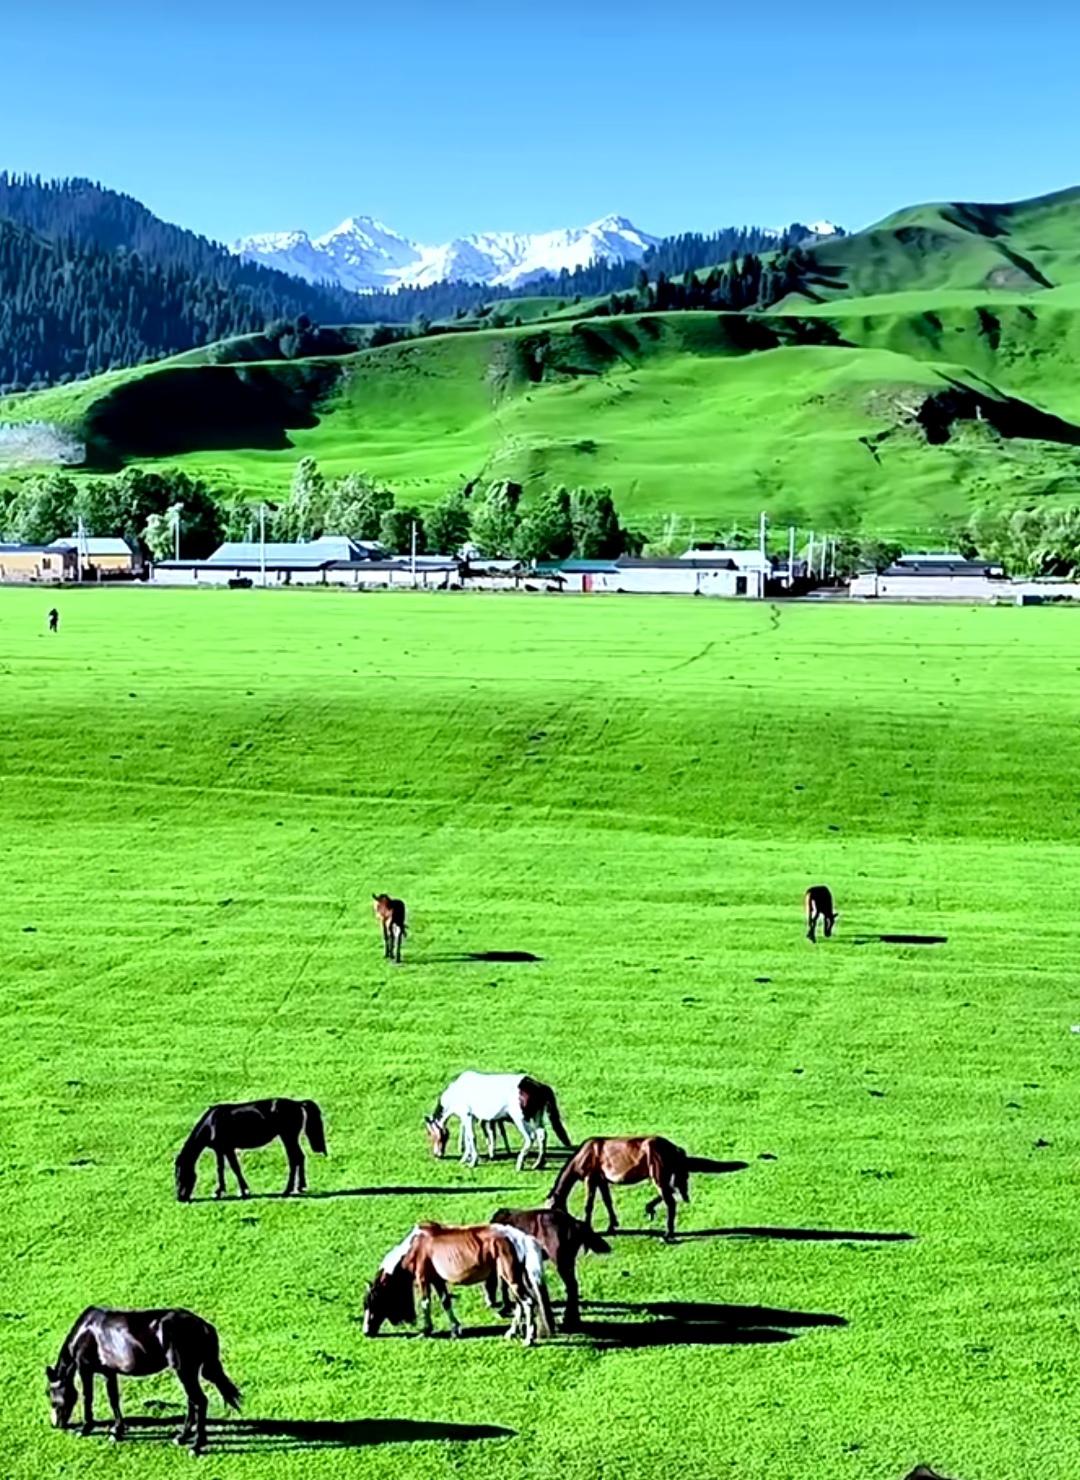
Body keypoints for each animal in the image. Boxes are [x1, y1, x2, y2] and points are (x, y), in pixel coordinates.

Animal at [45, 1308, 238, 1456]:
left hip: (184, 1371)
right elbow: (113, 1399)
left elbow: (87, 1397)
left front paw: (85, 1429)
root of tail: (204, 1326)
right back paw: (182, 1437)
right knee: (192, 1401)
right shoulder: (109, 1372)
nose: (55, 1424)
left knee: (200, 1401)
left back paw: (197, 1446)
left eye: (49, 1393)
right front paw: (117, 1431)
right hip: (188, 1373)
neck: (86, 1331)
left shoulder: (85, 1369)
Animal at [170, 1101, 324, 1201]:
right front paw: (219, 1191)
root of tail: (297, 1104)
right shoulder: (220, 1149)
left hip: (288, 1137)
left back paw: (287, 1190)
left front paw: (244, 1191)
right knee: (299, 1157)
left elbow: (235, 1168)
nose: (180, 1198)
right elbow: (220, 1169)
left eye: (180, 1175)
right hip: (289, 1138)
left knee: (294, 1159)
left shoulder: (228, 1148)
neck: (211, 1123)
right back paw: (300, 1187)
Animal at [362, 1219, 550, 1349]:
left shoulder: (423, 1279)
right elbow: (446, 1301)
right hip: (512, 1280)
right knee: (519, 1304)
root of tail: (520, 1238)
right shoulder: (437, 1280)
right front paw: (455, 1329)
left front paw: (426, 1331)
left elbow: (425, 1303)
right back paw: (511, 1333)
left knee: (528, 1303)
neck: (415, 1247)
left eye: (373, 1303)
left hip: (511, 1279)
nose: (366, 1332)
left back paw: (528, 1339)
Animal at [423, 1071, 568, 1172]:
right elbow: (468, 1138)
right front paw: (465, 1159)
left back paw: (520, 1164)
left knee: (530, 1138)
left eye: (431, 1135)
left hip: (520, 1119)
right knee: (541, 1135)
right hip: (537, 1117)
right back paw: (538, 1164)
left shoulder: (467, 1115)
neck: (457, 1092)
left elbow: (471, 1137)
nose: (437, 1154)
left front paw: (472, 1161)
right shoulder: (471, 1118)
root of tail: (538, 1086)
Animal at [485, 1201, 606, 1332]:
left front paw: (505, 1308)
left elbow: (505, 1284)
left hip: (561, 1262)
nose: (490, 1303)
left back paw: (568, 1320)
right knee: (573, 1286)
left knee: (571, 1286)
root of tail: (574, 1222)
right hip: (569, 1260)